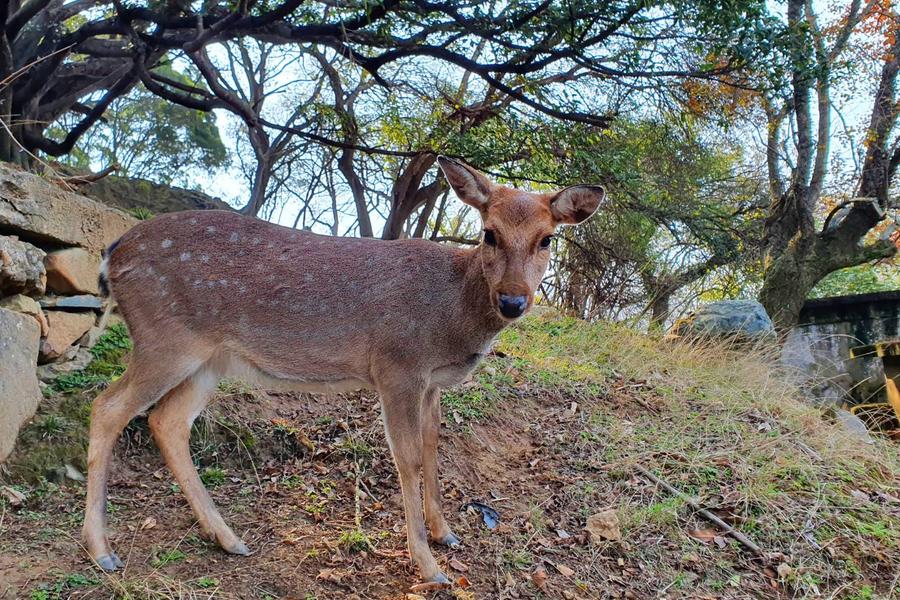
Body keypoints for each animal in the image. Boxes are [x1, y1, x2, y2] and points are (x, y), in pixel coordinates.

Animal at [82, 157, 604, 584]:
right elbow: (408, 458)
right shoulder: (398, 364)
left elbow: (433, 448)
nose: (513, 301)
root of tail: (111, 255)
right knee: (107, 406)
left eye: (547, 238)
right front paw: (428, 565)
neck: (452, 318)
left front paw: (446, 533)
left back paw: (227, 538)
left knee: (166, 421)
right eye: (489, 232)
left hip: (210, 359)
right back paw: (101, 550)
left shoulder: (432, 382)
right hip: (164, 339)